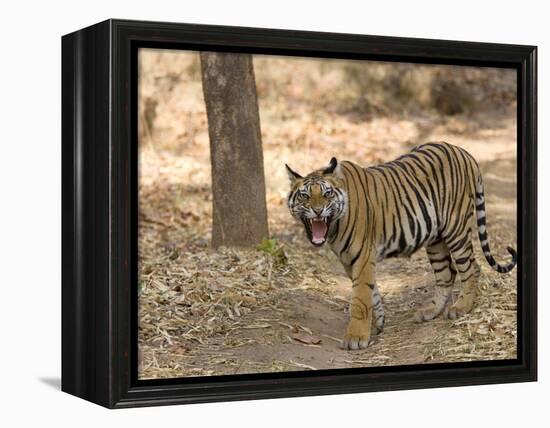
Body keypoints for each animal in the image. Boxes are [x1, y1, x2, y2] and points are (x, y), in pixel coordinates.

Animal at [286, 142, 520, 350]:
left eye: (327, 194)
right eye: (305, 195)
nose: (318, 211)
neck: (334, 227)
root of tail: (464, 152)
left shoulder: (362, 257)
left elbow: (360, 297)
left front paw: (356, 338)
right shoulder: (349, 261)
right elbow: (371, 292)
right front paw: (377, 324)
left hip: (456, 228)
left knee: (472, 268)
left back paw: (461, 307)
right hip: (435, 239)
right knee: (447, 273)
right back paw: (430, 311)